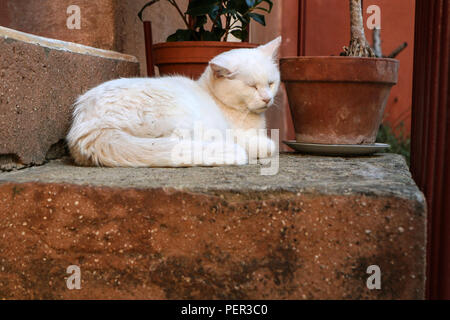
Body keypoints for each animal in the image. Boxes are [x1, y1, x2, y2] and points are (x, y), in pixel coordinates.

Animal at [67, 36, 282, 168]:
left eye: (271, 83)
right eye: (252, 86)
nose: (267, 98)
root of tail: (90, 128)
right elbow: (265, 145)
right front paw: (264, 146)